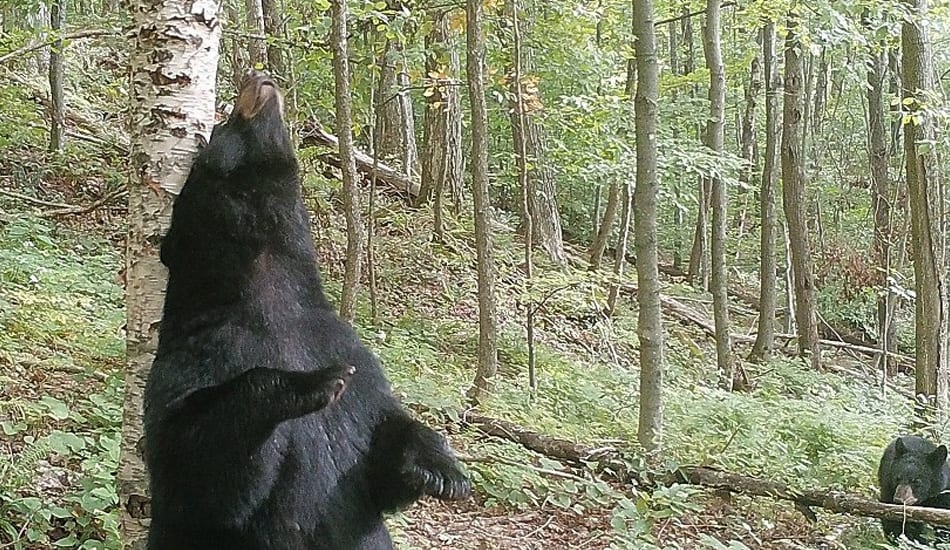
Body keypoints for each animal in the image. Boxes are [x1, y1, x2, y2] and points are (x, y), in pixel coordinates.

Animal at [143, 70, 470, 550]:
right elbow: (190, 470)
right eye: (220, 128)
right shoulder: (200, 350)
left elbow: (381, 438)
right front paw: (310, 383)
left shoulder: (346, 345)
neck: (269, 286)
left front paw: (441, 466)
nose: (257, 76)